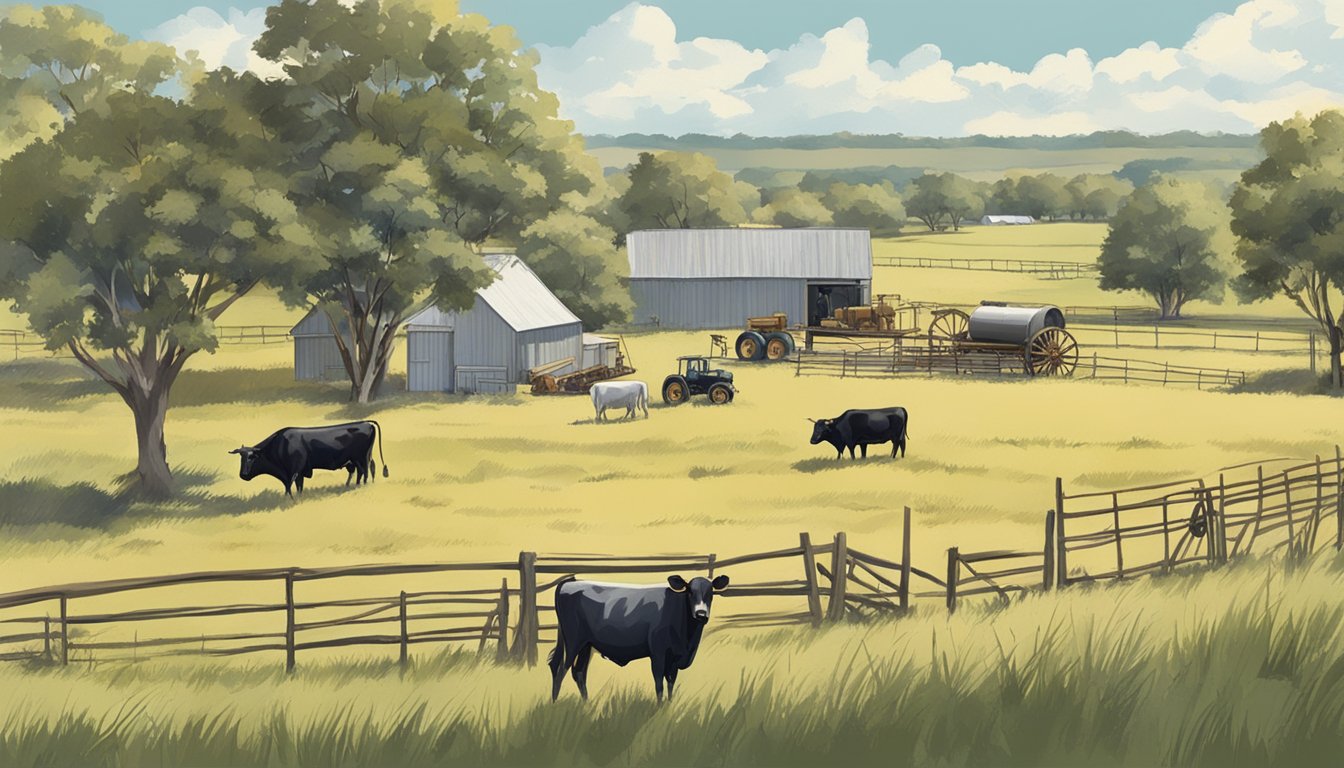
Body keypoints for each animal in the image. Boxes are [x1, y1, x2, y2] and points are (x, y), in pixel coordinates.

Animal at [229, 419, 389, 497]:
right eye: (241, 457)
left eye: (252, 457)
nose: (243, 475)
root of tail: (366, 423)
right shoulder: (296, 472)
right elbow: (296, 486)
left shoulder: (295, 471)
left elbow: (292, 486)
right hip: (355, 461)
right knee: (362, 472)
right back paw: (353, 486)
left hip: (362, 458)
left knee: (366, 472)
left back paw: (362, 487)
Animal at [545, 572, 731, 699]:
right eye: (690, 592)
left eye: (711, 593)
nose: (701, 614)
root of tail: (570, 582)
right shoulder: (658, 653)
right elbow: (659, 684)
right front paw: (660, 710)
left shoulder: (674, 658)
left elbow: (671, 683)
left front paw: (668, 709)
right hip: (572, 641)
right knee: (560, 669)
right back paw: (555, 705)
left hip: (586, 645)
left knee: (578, 672)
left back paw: (586, 706)